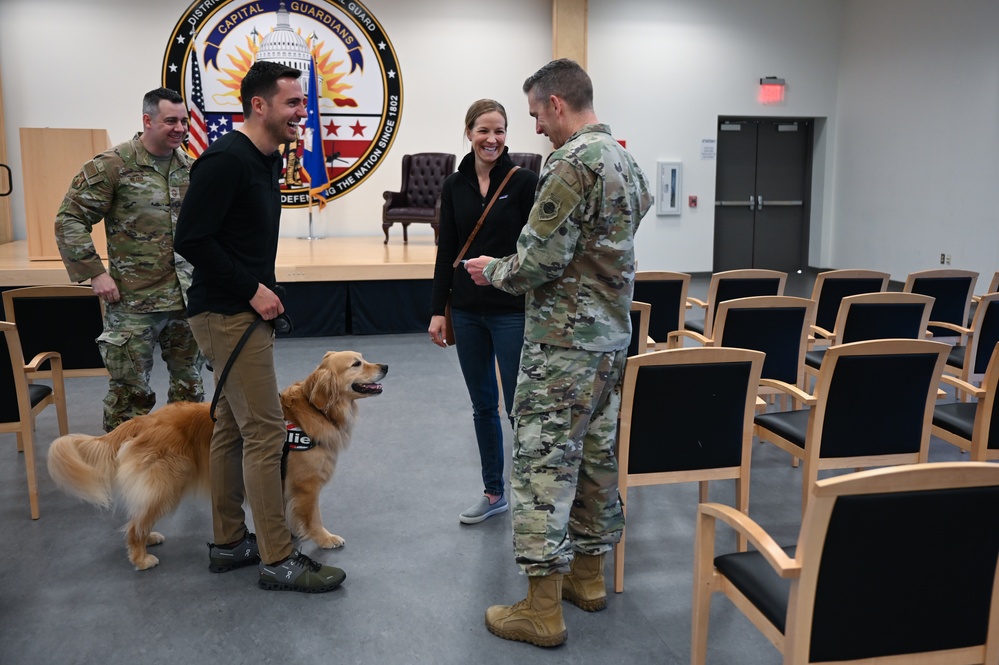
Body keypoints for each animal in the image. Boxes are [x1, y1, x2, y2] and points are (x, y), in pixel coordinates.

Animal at [48, 348, 388, 572]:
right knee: (135, 525)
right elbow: (313, 517)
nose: (385, 365)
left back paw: (150, 539)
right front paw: (325, 538)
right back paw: (141, 557)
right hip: (167, 484)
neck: (316, 410)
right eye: (357, 363)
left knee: (139, 519)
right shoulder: (306, 487)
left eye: (364, 357)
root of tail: (144, 421)